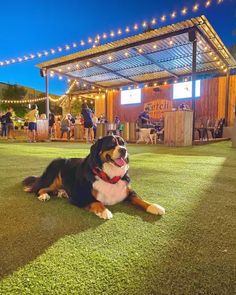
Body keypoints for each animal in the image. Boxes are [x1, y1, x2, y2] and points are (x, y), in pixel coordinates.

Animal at [23, 136, 165, 220]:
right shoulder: (79, 196)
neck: (109, 177)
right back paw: (44, 195)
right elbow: (96, 201)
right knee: (38, 189)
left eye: (123, 144)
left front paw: (154, 206)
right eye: (111, 144)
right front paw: (104, 211)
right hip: (54, 171)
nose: (124, 150)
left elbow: (139, 198)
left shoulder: (128, 190)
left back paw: (61, 193)